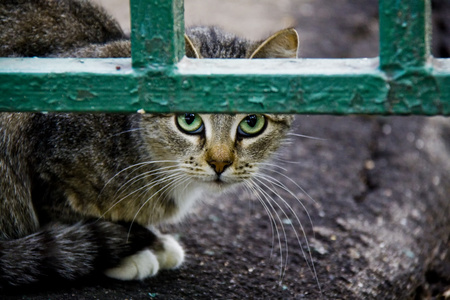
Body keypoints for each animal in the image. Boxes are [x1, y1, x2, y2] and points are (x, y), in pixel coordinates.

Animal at [0, 0, 298, 288]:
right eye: (188, 119)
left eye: (252, 122)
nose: (220, 162)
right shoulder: (40, 147)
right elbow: (65, 215)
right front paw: (128, 252)